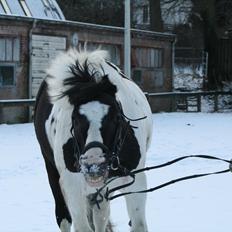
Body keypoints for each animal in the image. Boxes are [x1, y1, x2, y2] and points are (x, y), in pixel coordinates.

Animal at [34, 48, 152, 231]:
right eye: (75, 119)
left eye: (116, 117)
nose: (94, 164)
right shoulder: (72, 185)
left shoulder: (136, 180)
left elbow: (137, 224)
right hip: (54, 173)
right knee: (64, 218)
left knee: (100, 215)